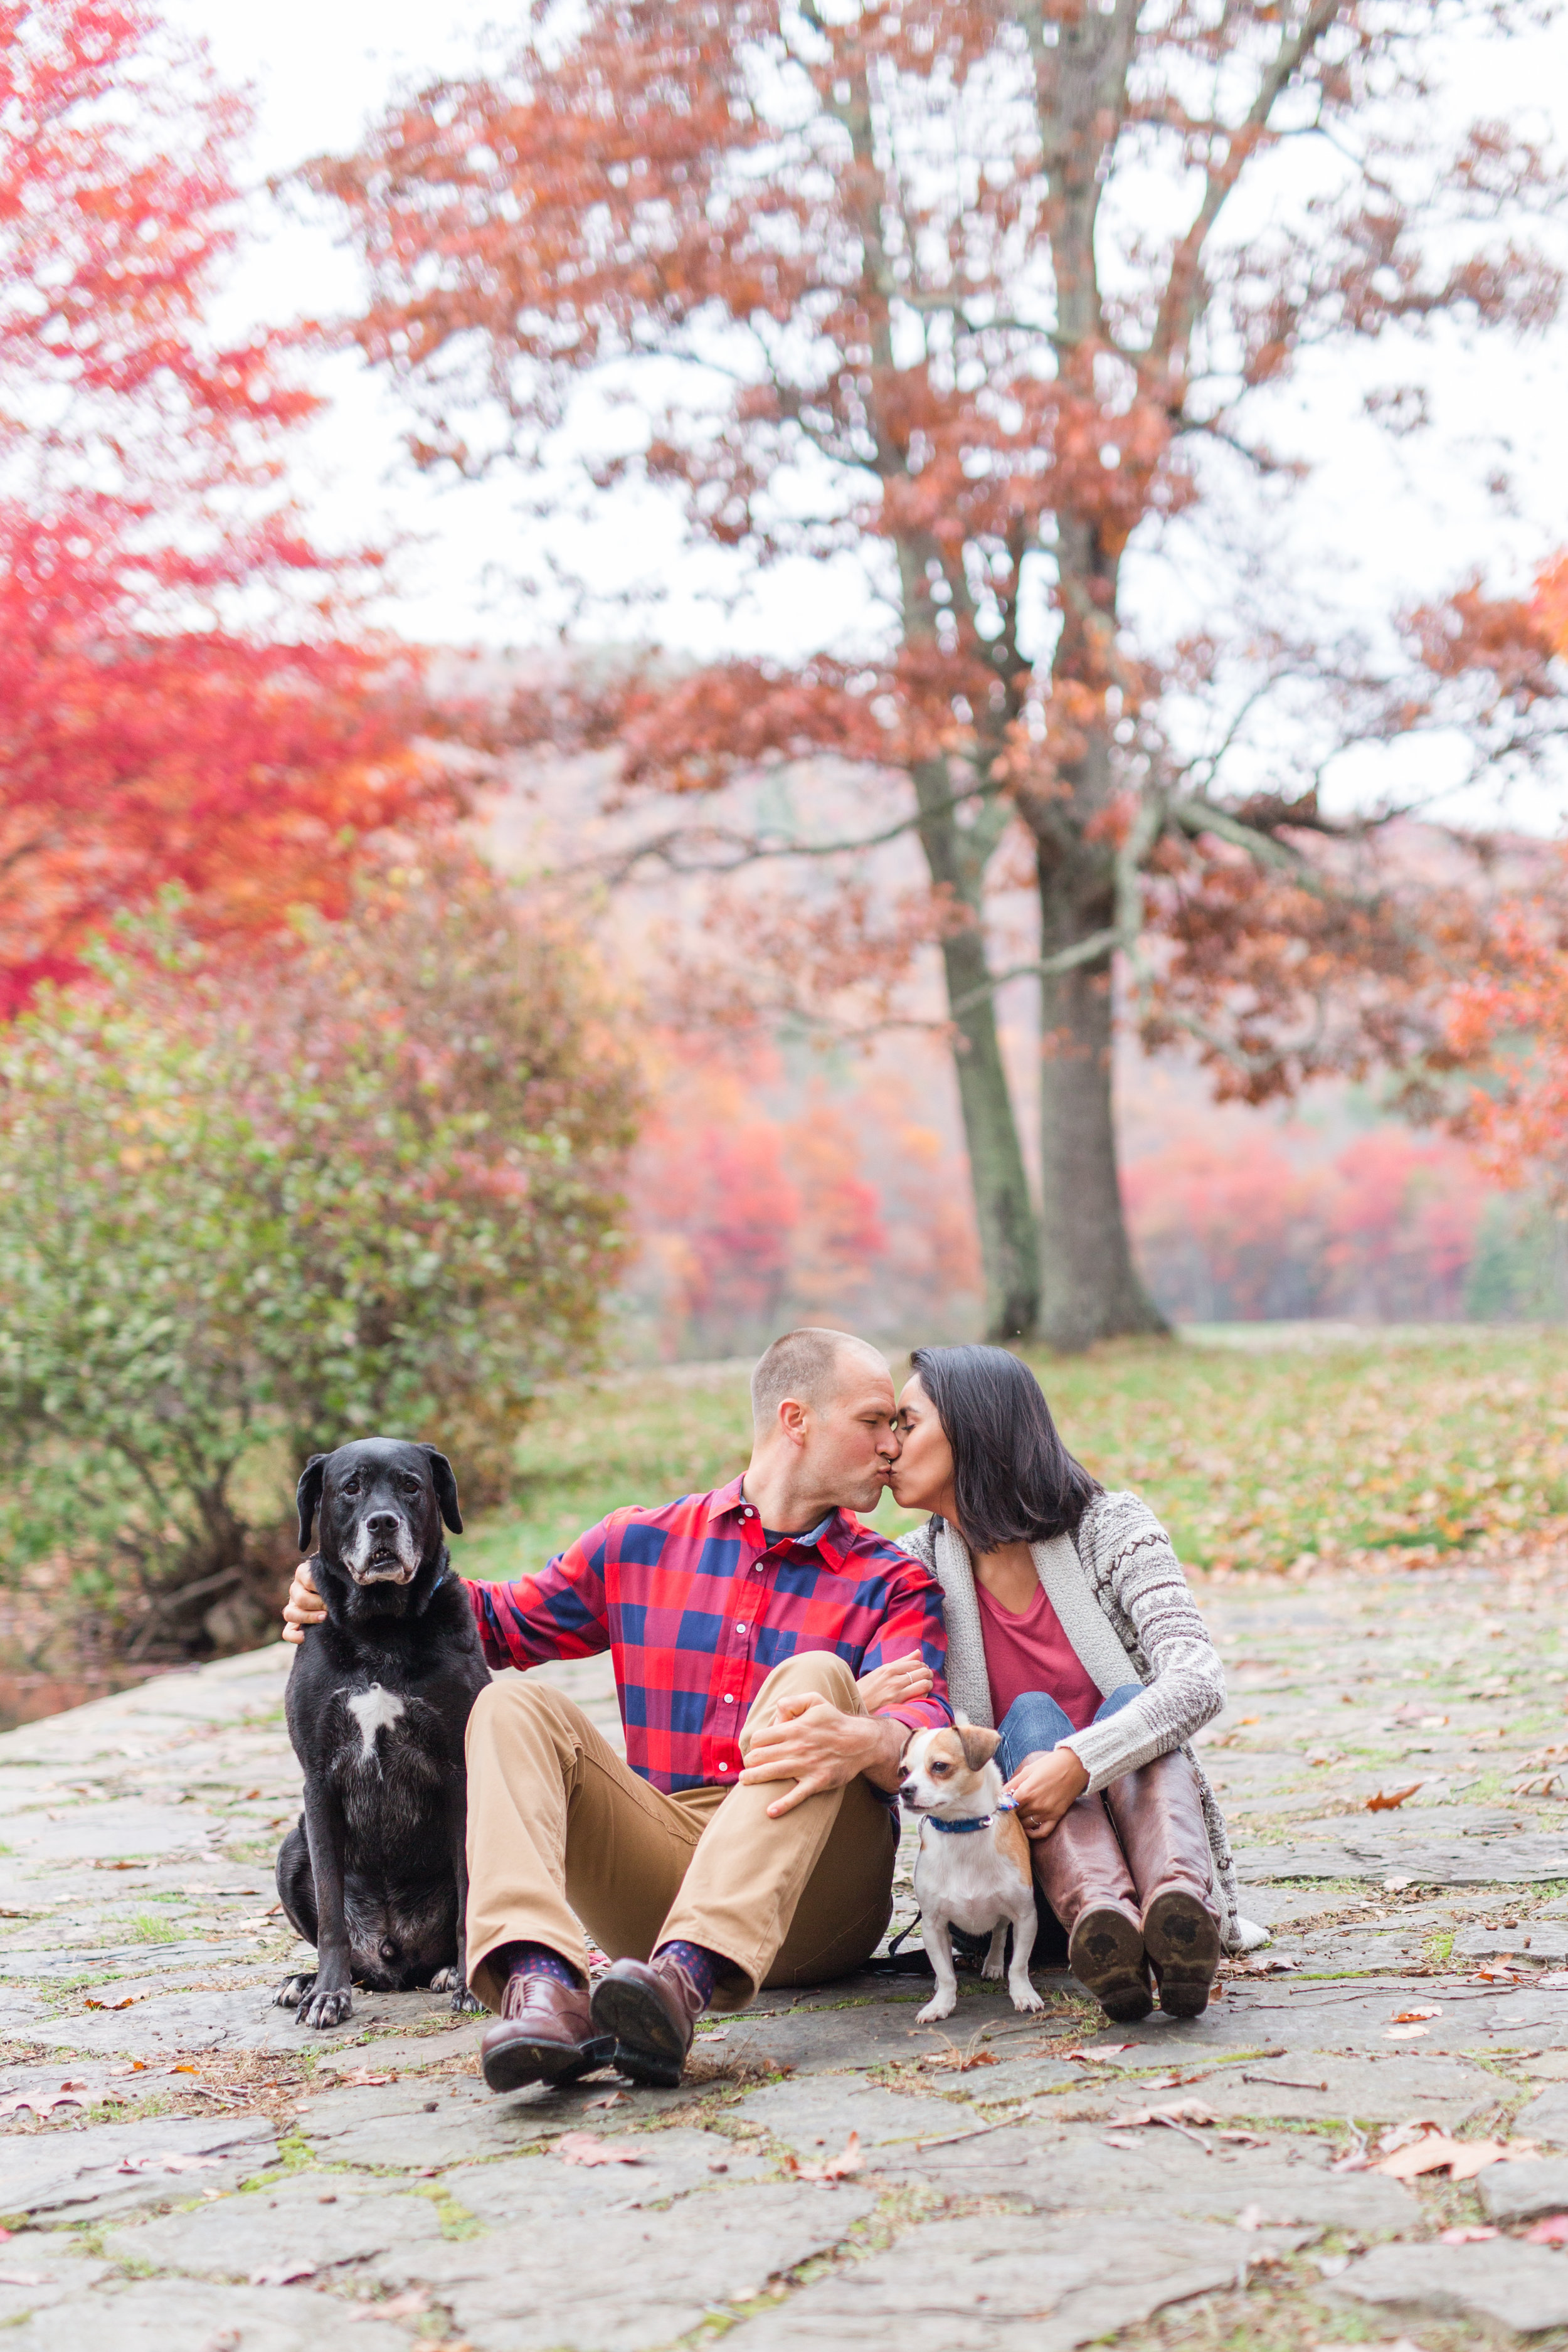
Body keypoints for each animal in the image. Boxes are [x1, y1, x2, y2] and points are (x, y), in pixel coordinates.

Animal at [272, 1430, 486, 2023]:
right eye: (351, 1488)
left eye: (411, 1485)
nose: (383, 1522)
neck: (381, 1627)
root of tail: (396, 1959)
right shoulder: (320, 1782)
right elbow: (330, 1914)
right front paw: (328, 1993)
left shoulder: (462, 1775)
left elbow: (470, 1890)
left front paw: (469, 1984)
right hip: (290, 1848)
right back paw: (306, 1981)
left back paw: (448, 1971)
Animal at [903, 1722, 1048, 2032]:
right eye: (904, 1770)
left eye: (940, 1766)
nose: (905, 1790)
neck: (963, 1830)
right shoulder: (932, 1925)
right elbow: (946, 1973)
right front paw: (942, 2004)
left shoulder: (1025, 1917)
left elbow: (1019, 1964)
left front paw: (1023, 1993)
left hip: (1005, 1914)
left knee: (1000, 1934)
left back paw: (993, 1964)